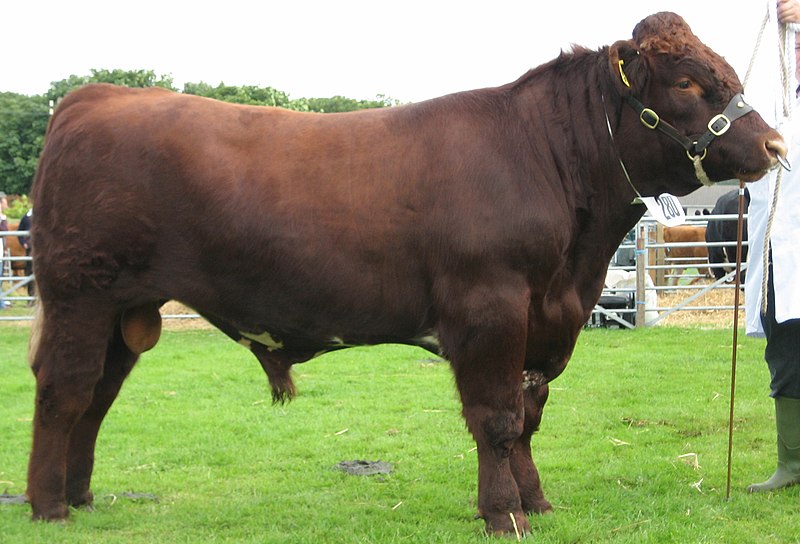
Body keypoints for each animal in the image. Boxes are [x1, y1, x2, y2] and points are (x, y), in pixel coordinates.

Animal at [26, 11, 788, 536]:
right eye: (687, 80)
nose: (776, 143)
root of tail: (95, 97)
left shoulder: (545, 319)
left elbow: (529, 416)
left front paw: (537, 502)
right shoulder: (490, 309)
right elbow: (497, 419)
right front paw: (503, 514)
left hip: (124, 312)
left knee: (97, 396)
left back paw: (80, 496)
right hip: (79, 295)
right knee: (65, 392)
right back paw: (47, 506)